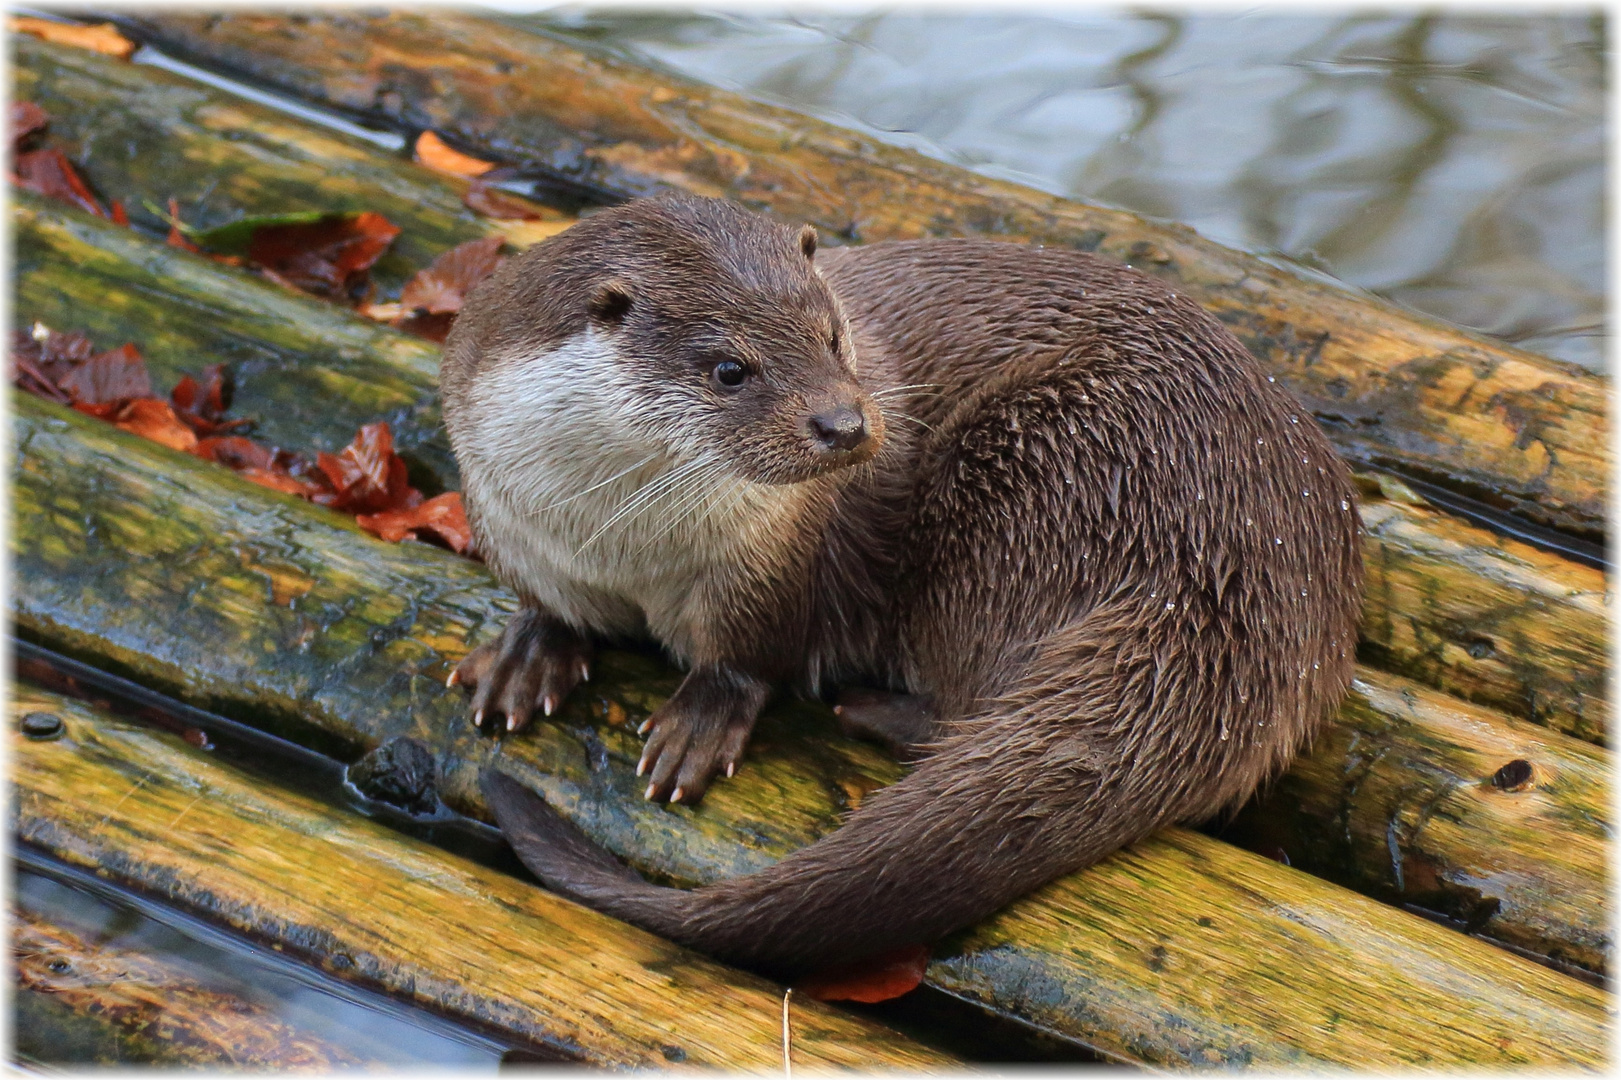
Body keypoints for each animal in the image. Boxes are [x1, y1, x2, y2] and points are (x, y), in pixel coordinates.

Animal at [437, 193, 1361, 972]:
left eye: (832, 335)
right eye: (728, 369)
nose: (844, 423)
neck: (612, 537)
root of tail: (1241, 570)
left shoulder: (767, 566)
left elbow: (749, 658)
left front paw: (697, 723)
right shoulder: (507, 517)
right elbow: (547, 605)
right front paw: (528, 654)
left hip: (1035, 483)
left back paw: (871, 710)